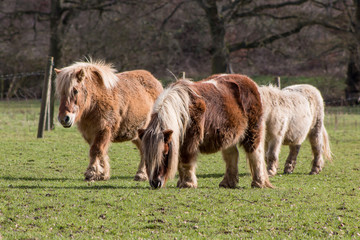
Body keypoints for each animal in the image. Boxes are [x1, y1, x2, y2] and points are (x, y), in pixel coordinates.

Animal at [138, 73, 272, 189]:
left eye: (165, 154)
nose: (155, 183)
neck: (182, 111)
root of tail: (251, 82)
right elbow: (181, 162)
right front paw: (181, 182)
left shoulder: (190, 141)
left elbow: (185, 161)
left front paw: (188, 183)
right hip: (229, 135)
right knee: (232, 155)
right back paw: (227, 183)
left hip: (253, 132)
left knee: (255, 154)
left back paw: (258, 183)